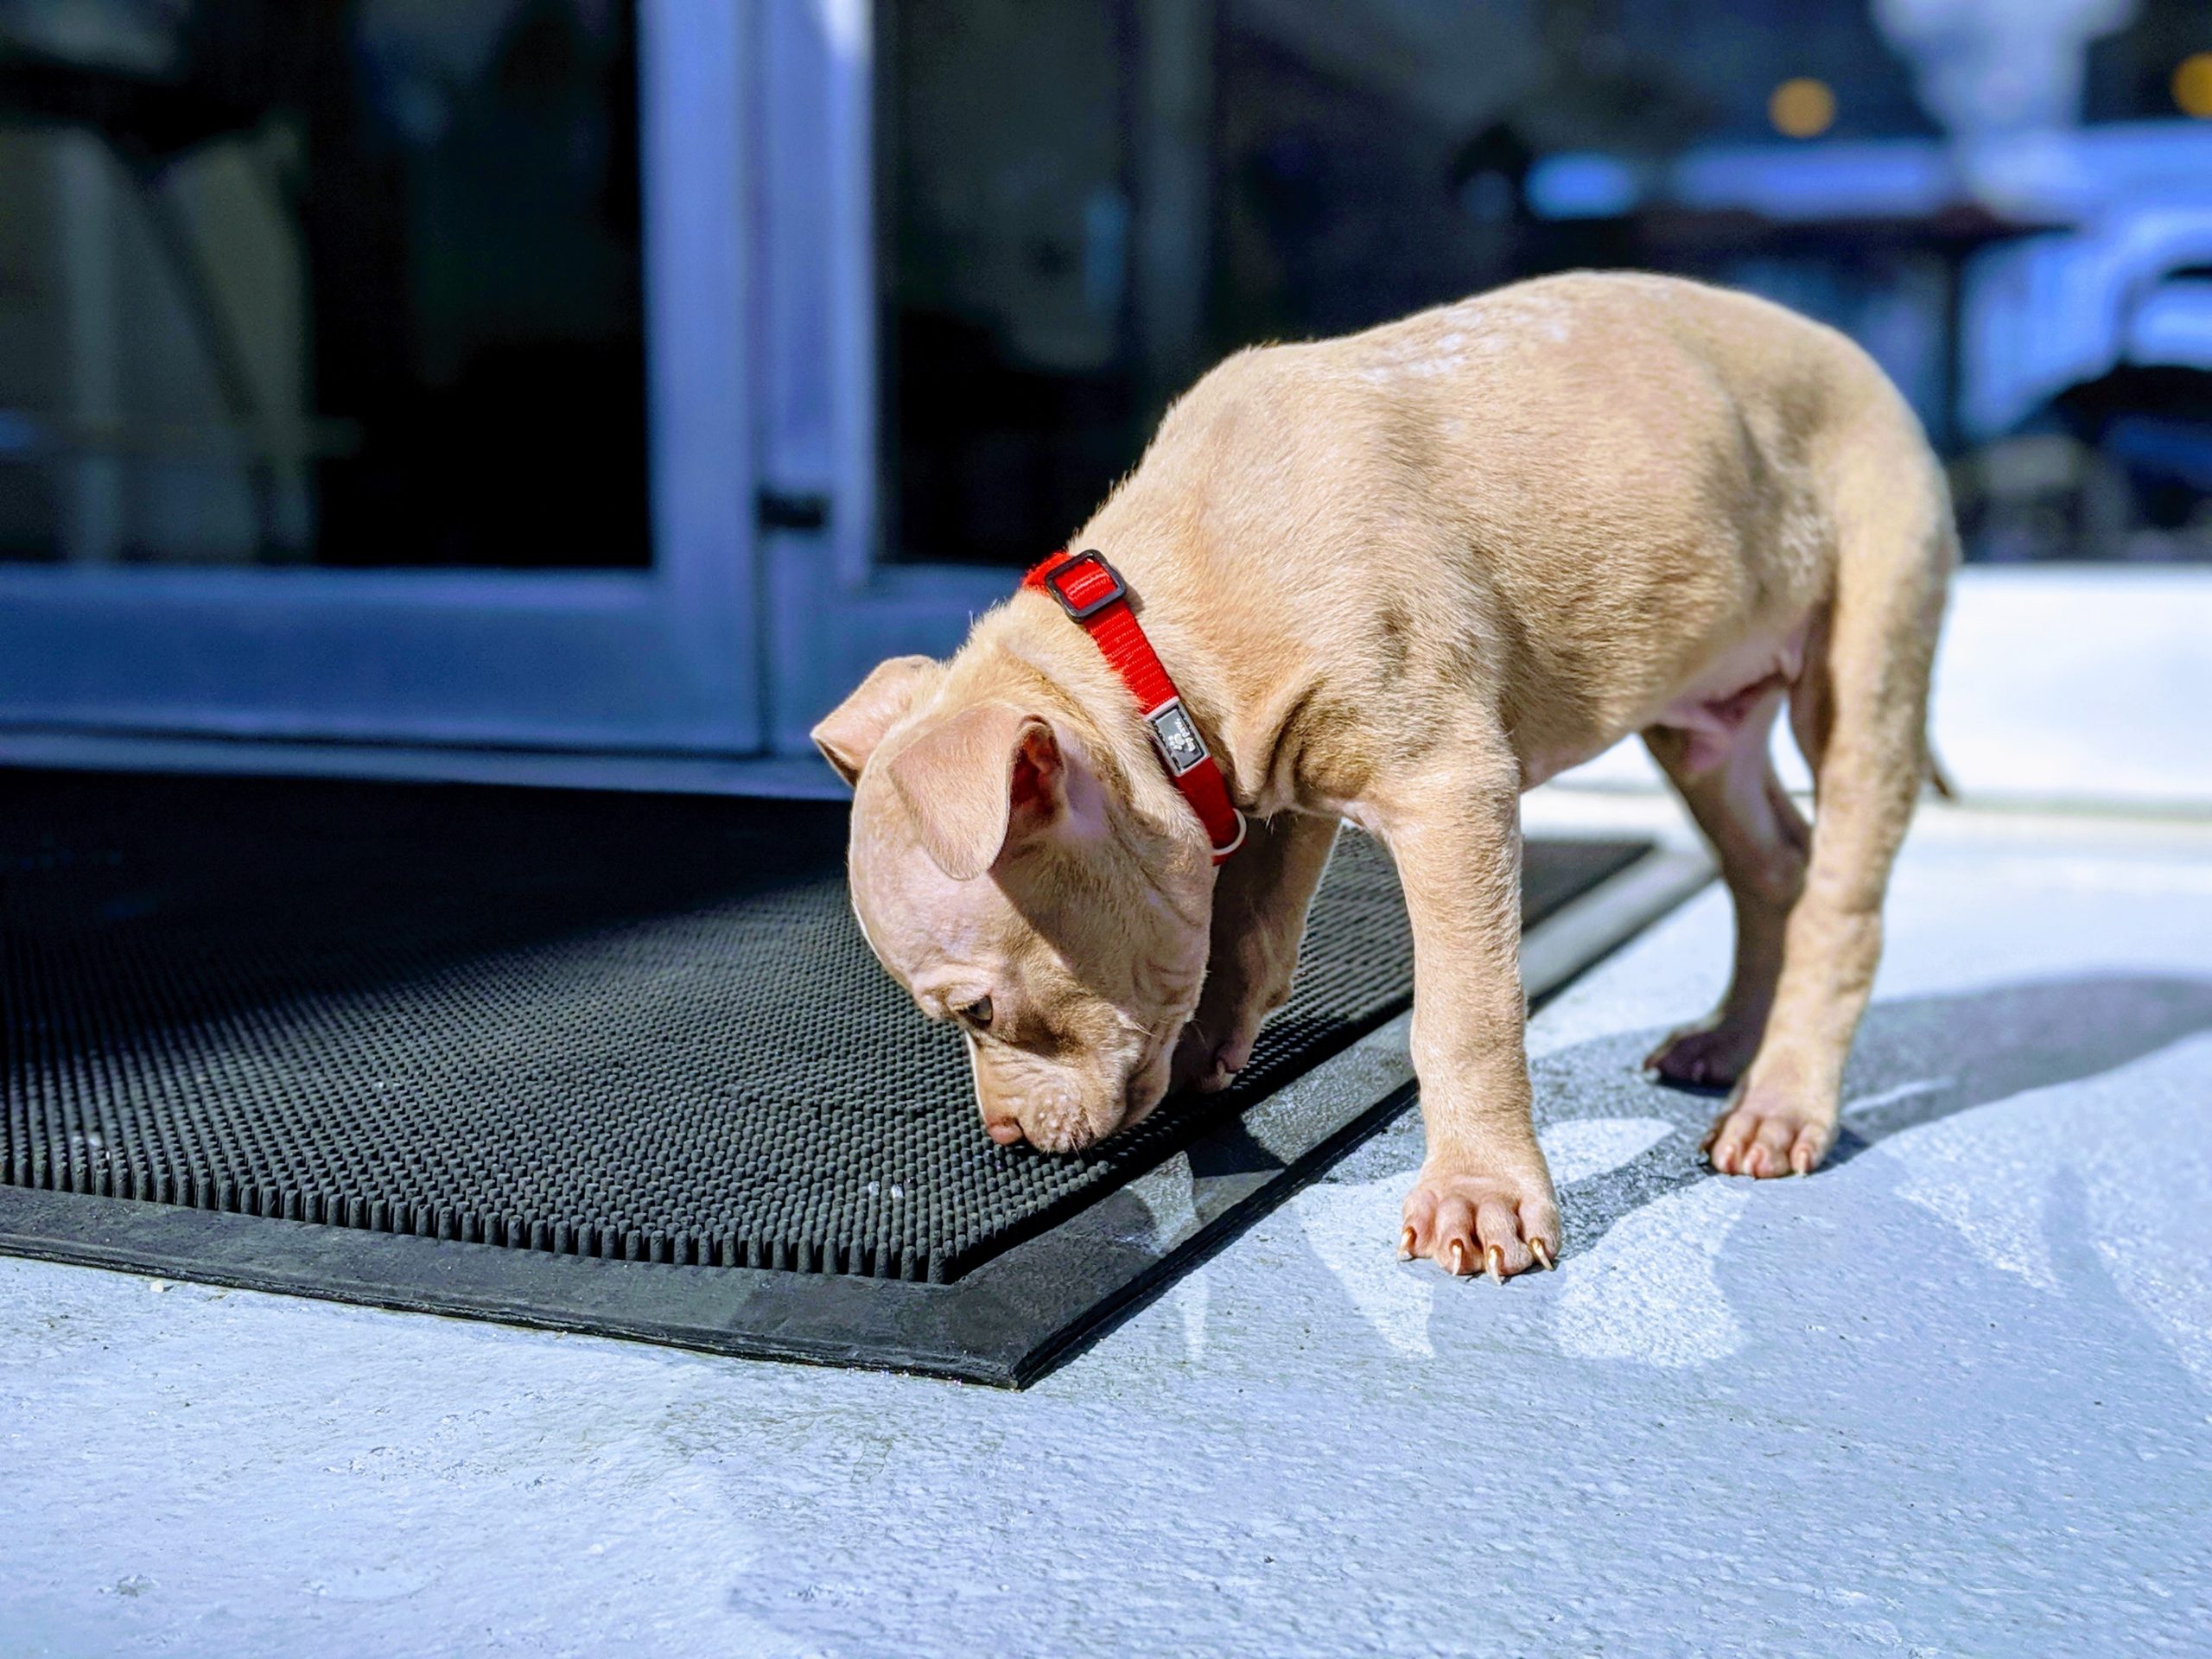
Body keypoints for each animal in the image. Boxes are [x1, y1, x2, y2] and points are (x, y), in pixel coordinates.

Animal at [818, 276, 1955, 1282]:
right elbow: (1246, 935)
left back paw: (1782, 1101)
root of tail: (1862, 361)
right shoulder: (1267, 778)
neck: (1149, 648)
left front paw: (1480, 1197)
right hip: (1702, 720)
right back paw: (1729, 1043)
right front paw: (1209, 1053)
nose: (1006, 1137)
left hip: (1868, 648)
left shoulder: (1449, 784)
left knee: (1839, 897)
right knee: (1773, 863)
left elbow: (1461, 1012)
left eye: (976, 1012)